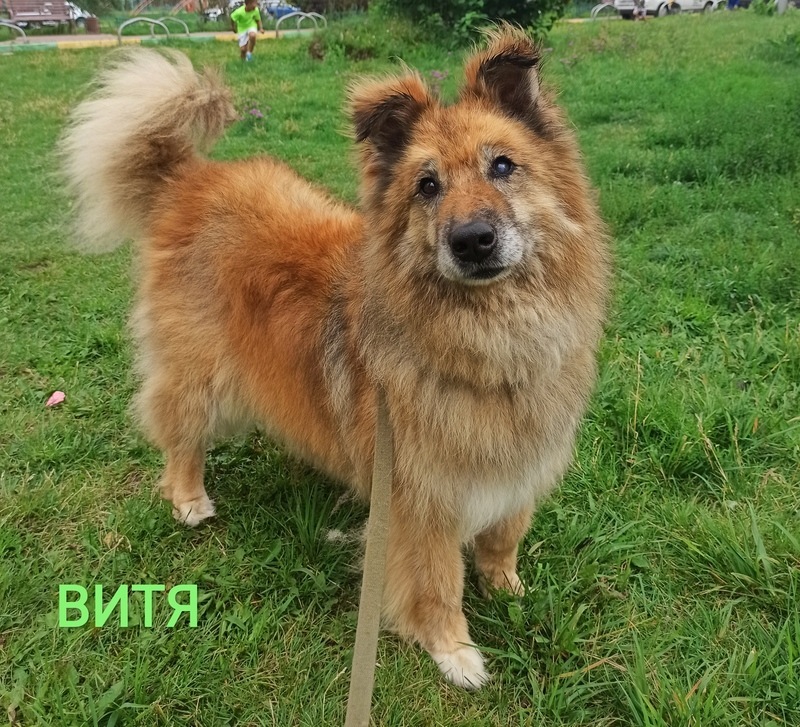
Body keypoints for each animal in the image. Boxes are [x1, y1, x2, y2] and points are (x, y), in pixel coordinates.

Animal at [62, 28, 608, 688]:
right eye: (427, 186)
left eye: (502, 165)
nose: (472, 240)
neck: (489, 339)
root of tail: (190, 177)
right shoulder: (421, 502)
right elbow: (437, 584)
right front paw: (453, 650)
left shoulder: (518, 465)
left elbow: (503, 539)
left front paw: (507, 589)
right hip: (202, 378)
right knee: (179, 434)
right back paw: (188, 498)